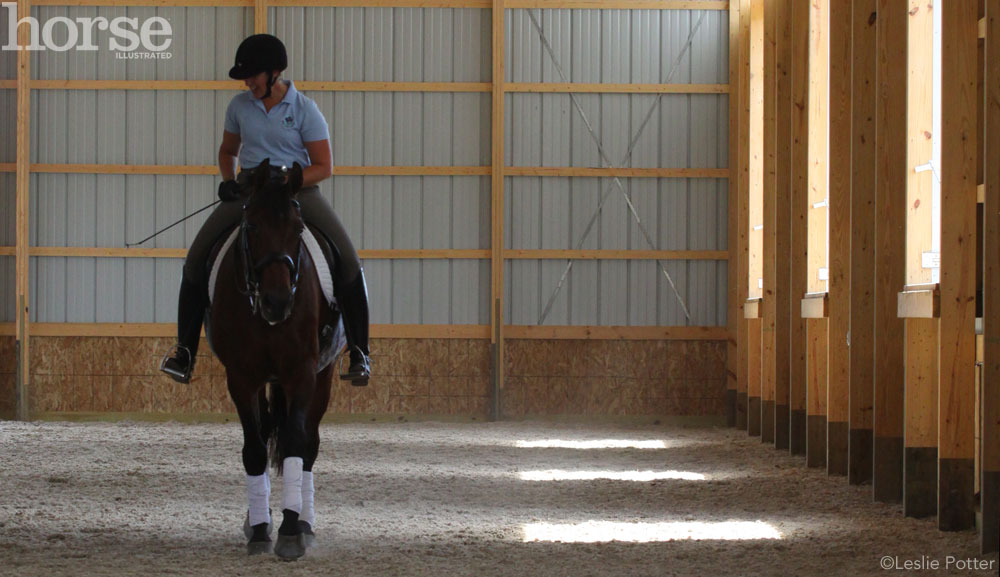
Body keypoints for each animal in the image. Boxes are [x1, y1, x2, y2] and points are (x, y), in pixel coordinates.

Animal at [205, 158, 342, 560]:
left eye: (297, 229)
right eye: (251, 226)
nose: (277, 303)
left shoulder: (302, 373)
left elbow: (297, 444)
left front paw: (291, 531)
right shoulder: (241, 377)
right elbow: (253, 450)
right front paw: (260, 530)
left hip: (323, 375)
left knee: (309, 445)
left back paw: (305, 523)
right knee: (265, 434)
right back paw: (258, 518)